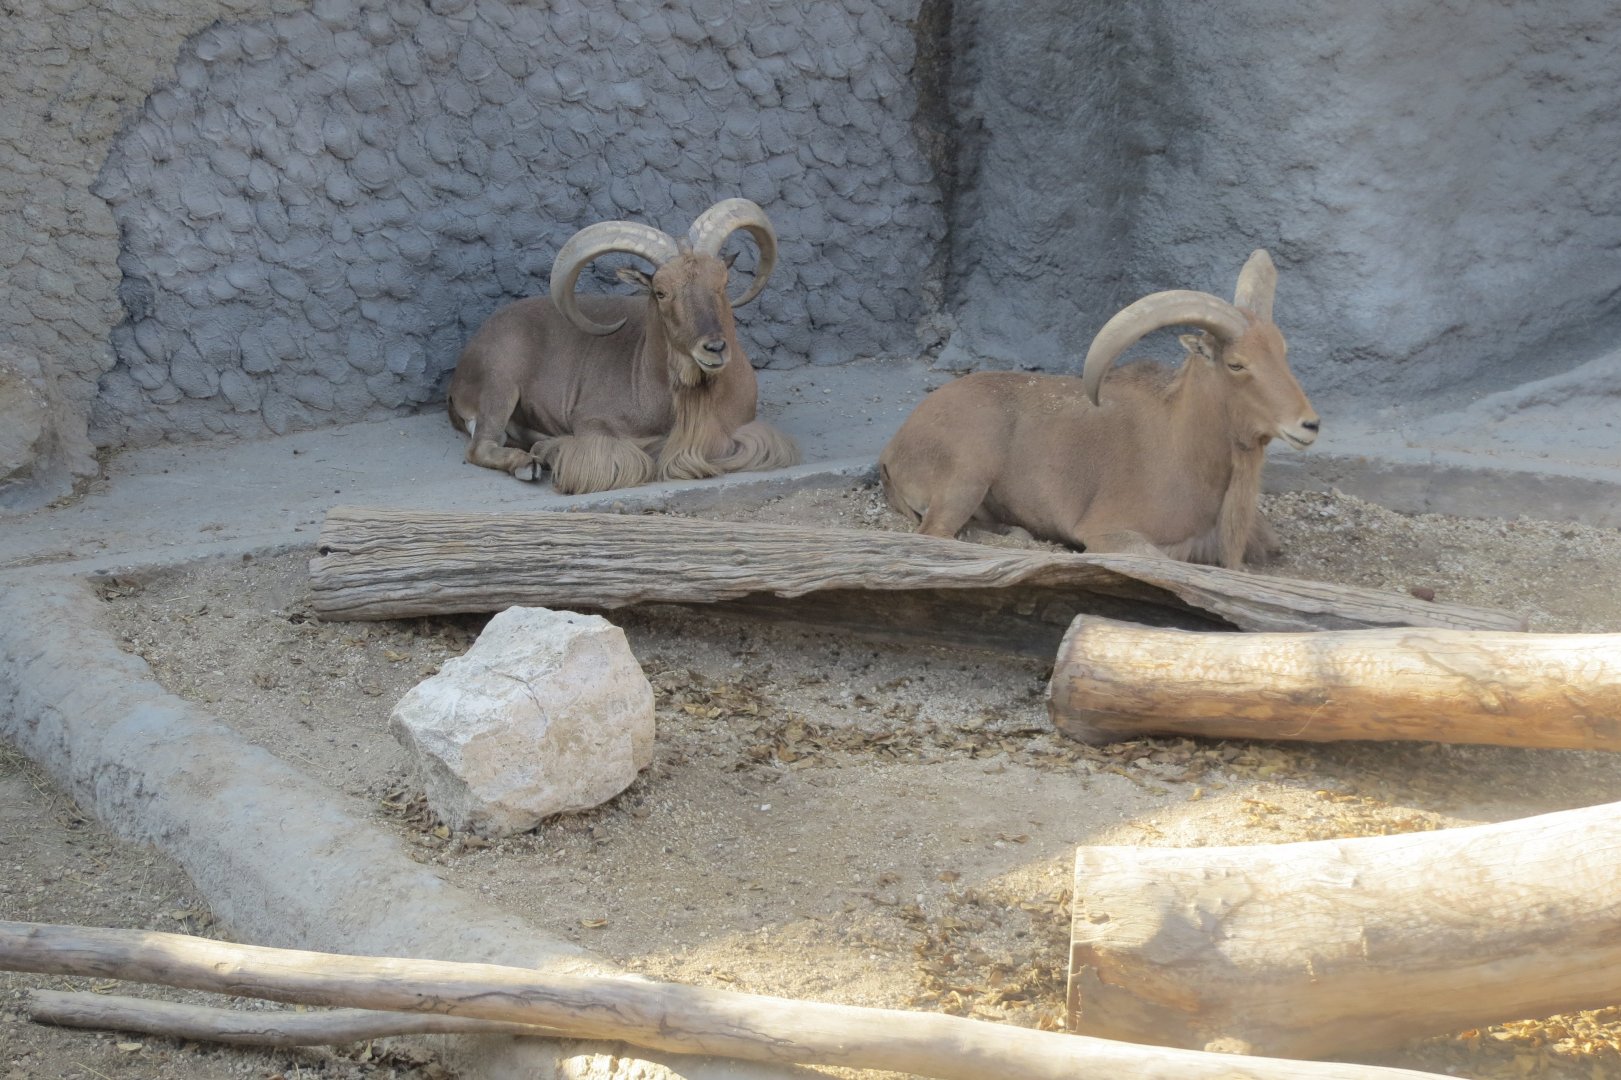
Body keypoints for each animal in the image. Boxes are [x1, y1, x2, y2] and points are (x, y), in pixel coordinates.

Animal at [447, 198, 800, 494]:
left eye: (722, 283)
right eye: (661, 292)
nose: (713, 348)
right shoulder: (593, 424)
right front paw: (550, 453)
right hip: (501, 381)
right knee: (482, 444)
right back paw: (528, 463)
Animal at [878, 250, 1319, 569]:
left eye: (1282, 352)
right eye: (1237, 364)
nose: (1309, 425)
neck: (1183, 447)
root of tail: (895, 445)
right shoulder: (1109, 530)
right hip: (968, 472)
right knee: (937, 532)